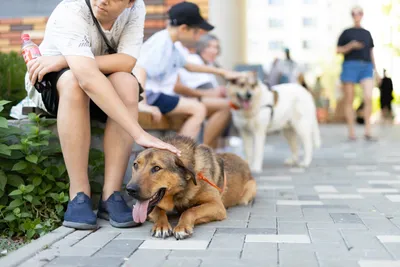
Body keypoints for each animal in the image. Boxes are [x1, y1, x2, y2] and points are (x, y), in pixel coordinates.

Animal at [126, 136, 256, 241]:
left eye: (157, 168)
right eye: (135, 165)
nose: (130, 189)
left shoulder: (217, 206)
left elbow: (190, 211)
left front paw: (182, 227)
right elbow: (159, 211)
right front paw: (161, 226)